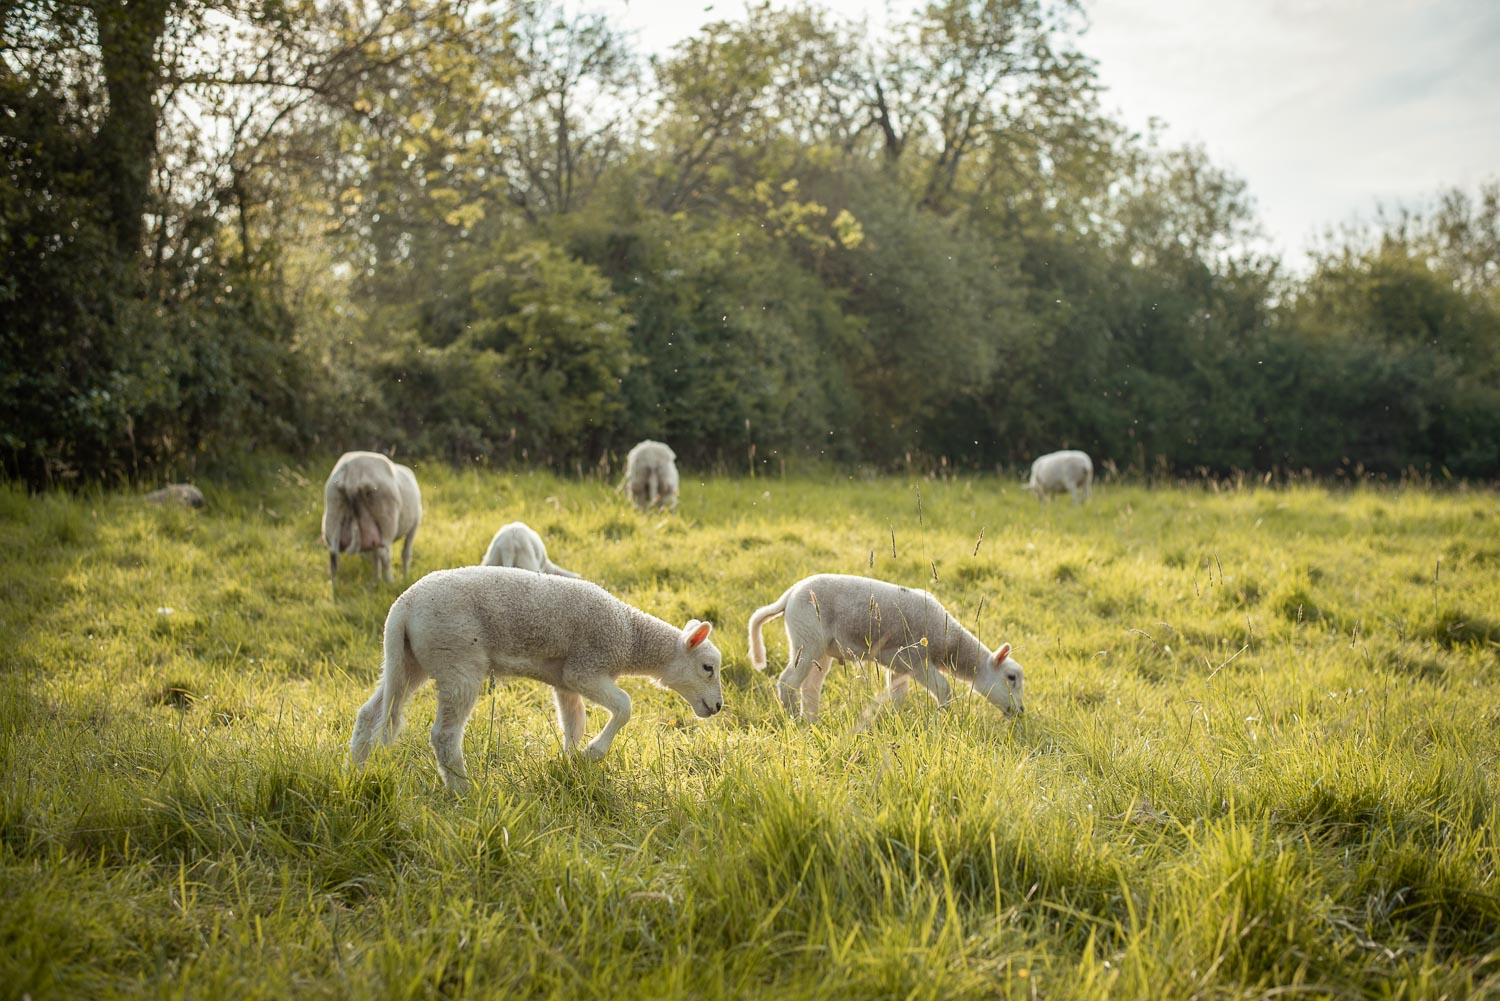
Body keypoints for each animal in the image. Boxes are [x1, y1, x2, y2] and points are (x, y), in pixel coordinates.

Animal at [322, 453, 423, 591]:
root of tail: (354, 470)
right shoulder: (415, 524)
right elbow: (406, 553)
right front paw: (405, 578)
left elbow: (375, 557)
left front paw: (377, 579)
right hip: (386, 519)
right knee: (385, 554)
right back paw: (390, 582)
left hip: (334, 512)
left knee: (333, 556)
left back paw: (335, 587)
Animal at [351, 564, 726, 792]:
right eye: (708, 667)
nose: (719, 707)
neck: (631, 636)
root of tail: (403, 608)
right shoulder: (587, 666)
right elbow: (624, 706)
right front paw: (593, 753)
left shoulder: (565, 680)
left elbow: (574, 723)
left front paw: (572, 763)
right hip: (457, 658)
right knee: (444, 736)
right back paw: (463, 790)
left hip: (408, 660)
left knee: (371, 713)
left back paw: (355, 770)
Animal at [747, 576, 1026, 723]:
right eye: (1011, 677)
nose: (1021, 711)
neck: (949, 643)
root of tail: (790, 594)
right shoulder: (916, 660)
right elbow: (944, 688)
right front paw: (942, 718)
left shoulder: (900, 666)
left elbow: (898, 696)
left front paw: (894, 719)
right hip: (806, 639)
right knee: (787, 682)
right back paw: (794, 719)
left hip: (819, 649)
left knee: (810, 687)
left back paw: (812, 721)